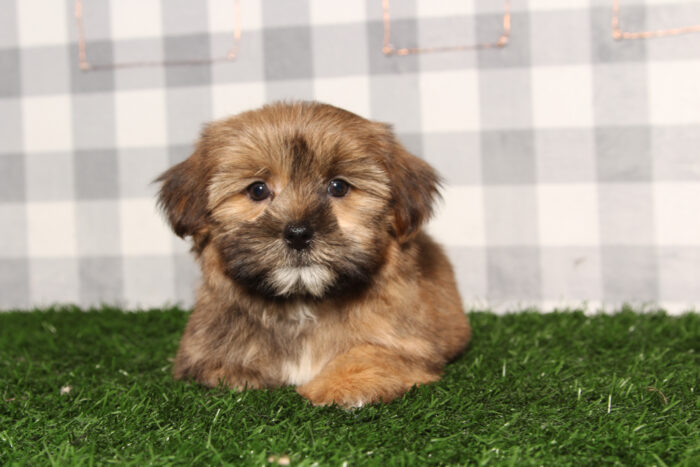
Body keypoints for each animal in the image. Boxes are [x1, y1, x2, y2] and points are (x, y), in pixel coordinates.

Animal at [156, 100, 468, 408]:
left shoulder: (409, 345)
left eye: (338, 186)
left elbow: (374, 353)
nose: (298, 234)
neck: (303, 303)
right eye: (257, 190)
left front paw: (341, 384)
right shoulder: (205, 350)